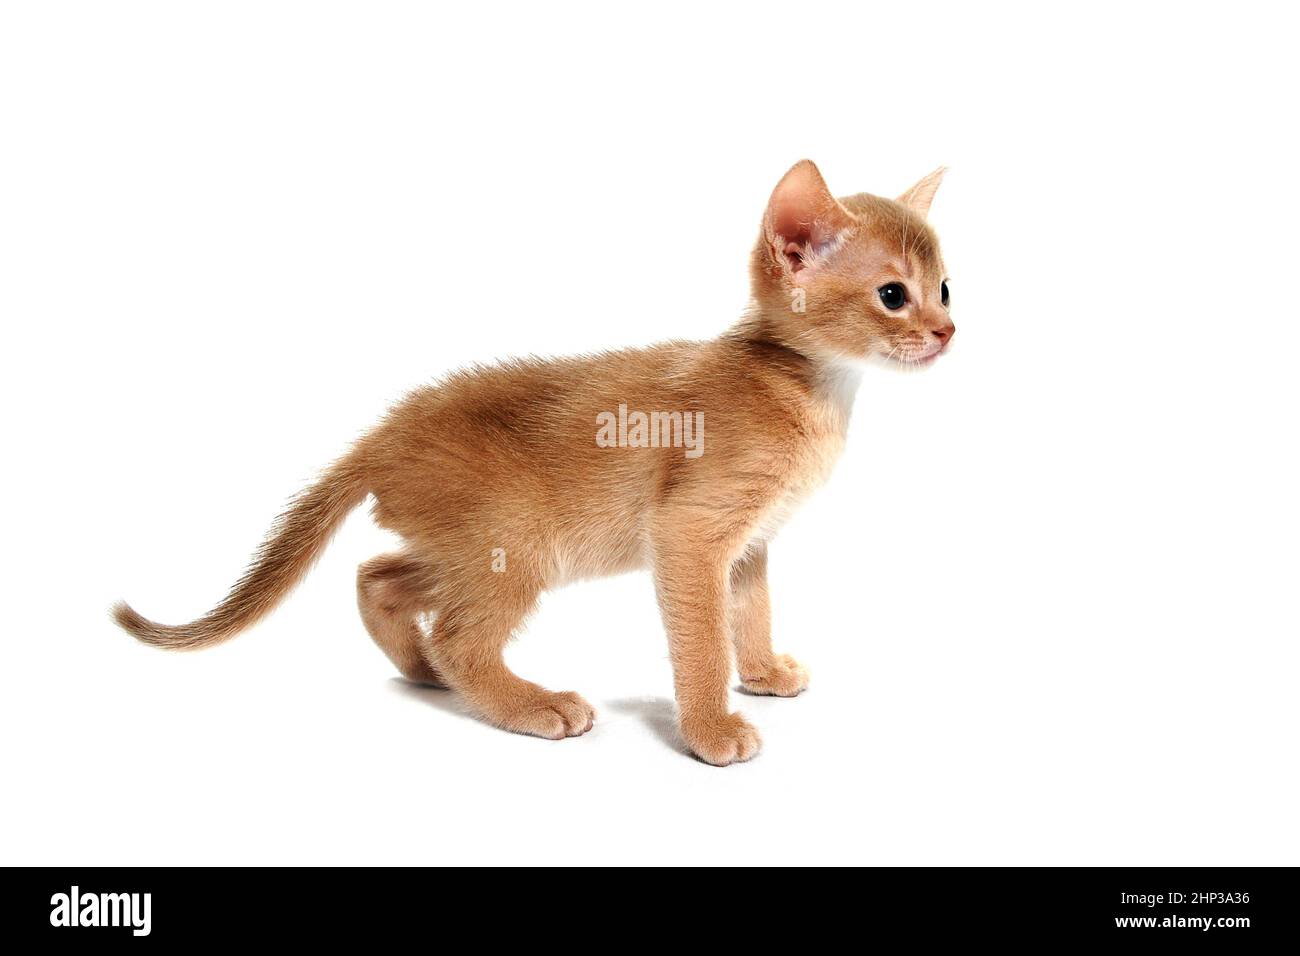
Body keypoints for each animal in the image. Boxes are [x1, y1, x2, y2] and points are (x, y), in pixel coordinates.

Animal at [114, 160, 956, 764]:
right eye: (892, 294)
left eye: (946, 287)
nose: (948, 332)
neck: (808, 388)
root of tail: (383, 433)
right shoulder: (690, 532)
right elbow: (704, 641)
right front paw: (712, 729)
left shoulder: (748, 544)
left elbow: (749, 614)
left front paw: (763, 675)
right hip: (516, 545)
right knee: (456, 634)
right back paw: (530, 703)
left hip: (470, 548)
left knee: (378, 579)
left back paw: (424, 670)